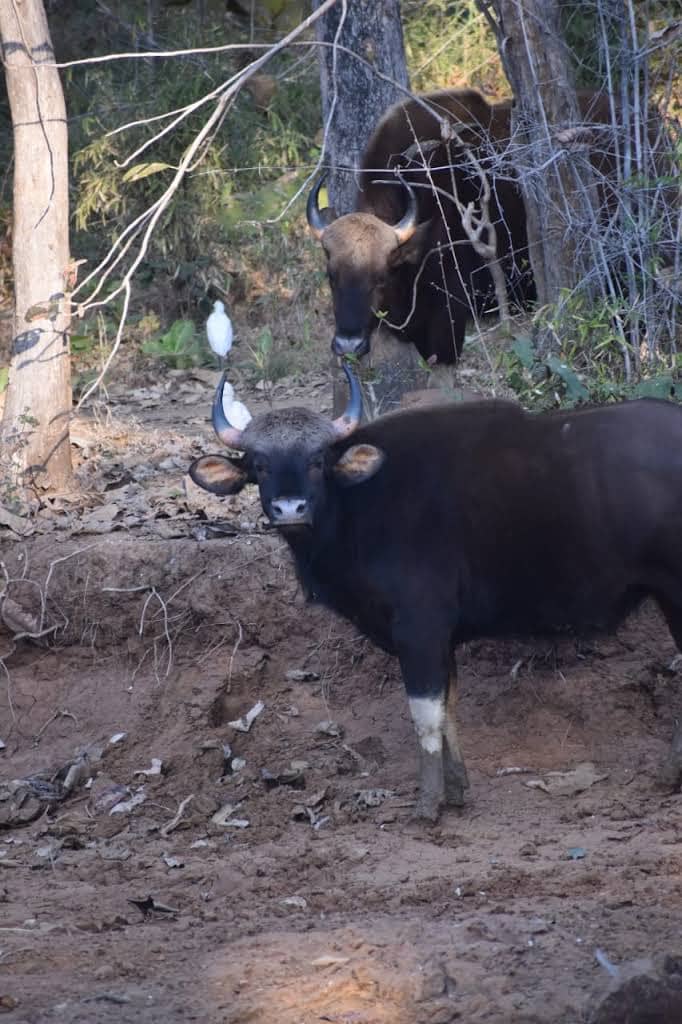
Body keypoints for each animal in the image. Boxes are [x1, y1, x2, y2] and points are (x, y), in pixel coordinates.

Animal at [189, 365, 682, 821]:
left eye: (316, 460)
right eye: (259, 463)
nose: (290, 508)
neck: (357, 506)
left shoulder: (419, 627)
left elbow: (424, 714)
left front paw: (428, 803)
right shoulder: (443, 639)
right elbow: (449, 708)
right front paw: (457, 790)